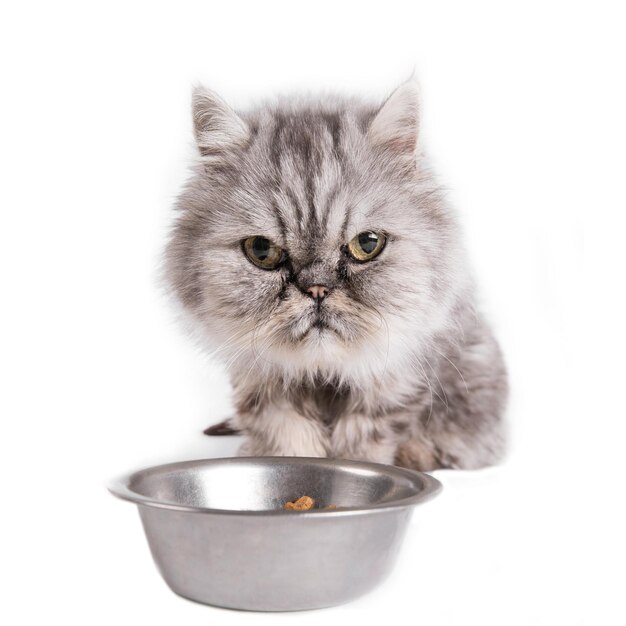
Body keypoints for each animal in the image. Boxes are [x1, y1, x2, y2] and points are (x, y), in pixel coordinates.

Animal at [165, 79, 508, 468]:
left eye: (367, 244)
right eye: (262, 251)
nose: (316, 289)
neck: (321, 374)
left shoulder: (395, 383)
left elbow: (365, 441)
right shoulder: (263, 385)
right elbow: (286, 437)